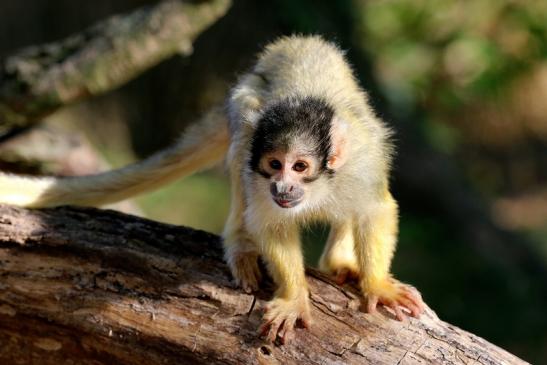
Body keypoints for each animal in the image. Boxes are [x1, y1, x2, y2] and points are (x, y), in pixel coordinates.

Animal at [0, 35, 424, 342]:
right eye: (275, 164)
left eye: (300, 166)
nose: (283, 186)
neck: (318, 189)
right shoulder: (260, 174)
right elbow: (269, 223)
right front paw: (294, 298)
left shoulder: (362, 164)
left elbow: (375, 209)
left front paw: (375, 284)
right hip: (245, 113)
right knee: (241, 141)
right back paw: (240, 241)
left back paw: (338, 264)